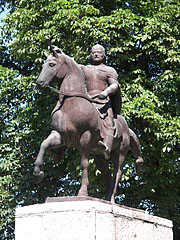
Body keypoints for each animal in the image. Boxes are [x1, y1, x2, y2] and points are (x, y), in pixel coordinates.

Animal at [33, 46, 143, 202]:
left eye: (52, 64)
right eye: (43, 65)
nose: (40, 83)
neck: (70, 104)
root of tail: (126, 127)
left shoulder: (86, 136)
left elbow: (84, 164)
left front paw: (83, 192)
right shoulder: (58, 134)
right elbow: (44, 144)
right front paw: (38, 173)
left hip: (120, 152)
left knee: (118, 172)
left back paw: (112, 198)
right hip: (99, 156)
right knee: (107, 173)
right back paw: (107, 197)